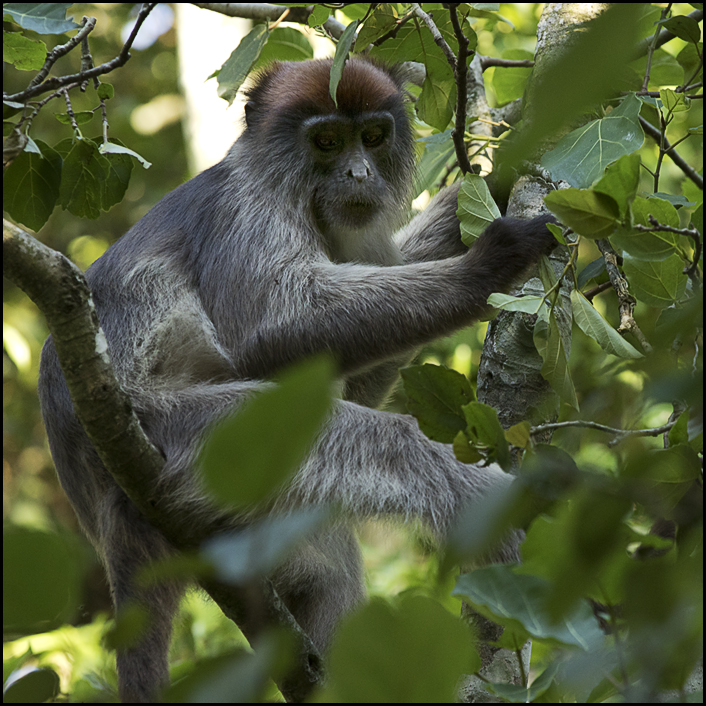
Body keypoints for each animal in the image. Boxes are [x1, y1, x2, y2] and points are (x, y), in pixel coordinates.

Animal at [37, 57, 556, 700]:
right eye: (327, 141)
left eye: (373, 137)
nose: (360, 173)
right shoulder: (243, 210)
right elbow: (270, 328)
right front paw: (484, 266)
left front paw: (496, 182)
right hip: (186, 442)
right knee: (384, 441)